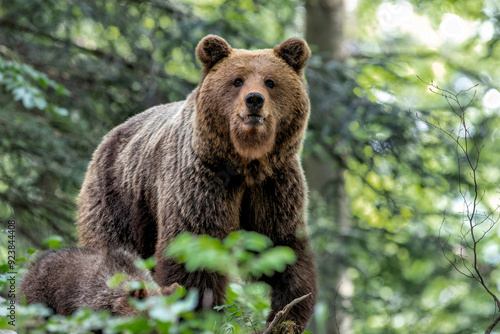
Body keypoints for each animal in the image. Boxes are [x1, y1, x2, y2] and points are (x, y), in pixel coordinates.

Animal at [75, 34, 316, 332]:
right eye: (237, 80)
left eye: (271, 81)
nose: (254, 99)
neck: (245, 163)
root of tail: (110, 135)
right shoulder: (200, 181)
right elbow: (195, 252)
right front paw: (198, 314)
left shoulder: (274, 186)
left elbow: (284, 248)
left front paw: (286, 316)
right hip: (120, 197)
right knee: (115, 247)